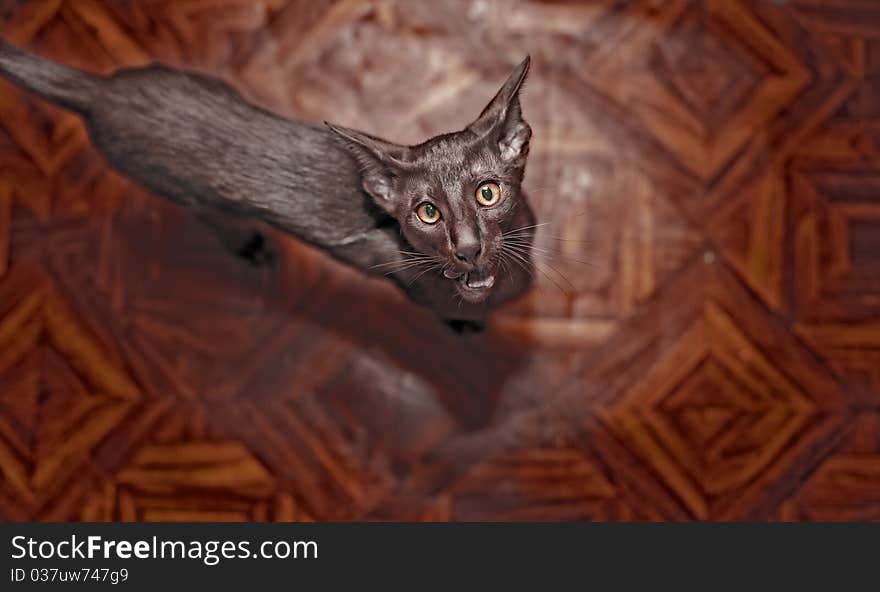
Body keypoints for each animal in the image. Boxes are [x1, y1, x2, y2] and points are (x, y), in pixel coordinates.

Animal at [0, 41, 536, 326]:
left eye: (487, 192)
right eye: (428, 213)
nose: (467, 249)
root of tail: (102, 91)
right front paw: (465, 327)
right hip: (179, 188)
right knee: (211, 214)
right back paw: (251, 246)